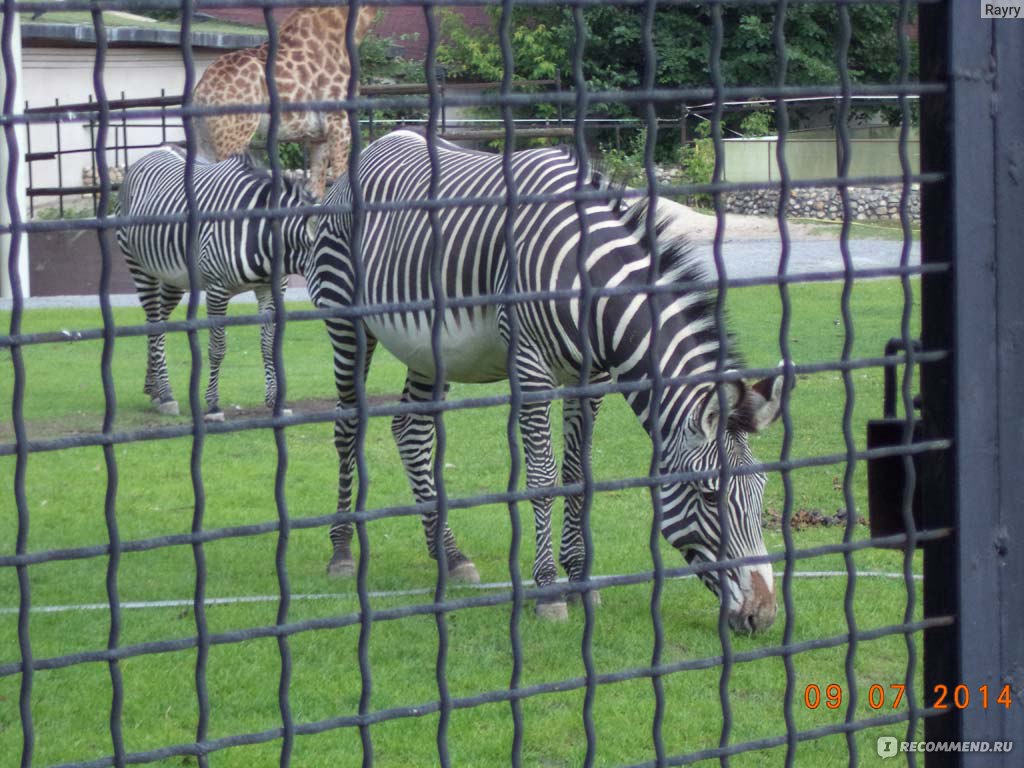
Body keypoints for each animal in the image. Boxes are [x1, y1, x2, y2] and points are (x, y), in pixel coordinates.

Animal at [115, 144, 311, 421]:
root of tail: (157, 150)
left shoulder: (271, 288)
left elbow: (268, 343)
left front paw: (275, 401)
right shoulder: (218, 289)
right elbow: (217, 348)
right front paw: (214, 404)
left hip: (173, 278)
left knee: (157, 321)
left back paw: (153, 389)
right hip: (139, 266)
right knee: (155, 323)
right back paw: (166, 395)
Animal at [192, 6, 376, 198]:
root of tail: (201, 89)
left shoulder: (320, 135)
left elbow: (317, 188)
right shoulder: (339, 121)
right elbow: (341, 177)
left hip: (206, 140)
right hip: (234, 136)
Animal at [305, 131, 782, 630]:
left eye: (761, 490)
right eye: (709, 496)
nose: (764, 615)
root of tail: (377, 146)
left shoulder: (592, 378)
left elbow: (576, 473)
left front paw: (579, 580)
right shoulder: (531, 367)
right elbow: (543, 475)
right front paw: (550, 590)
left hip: (428, 349)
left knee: (411, 432)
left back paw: (450, 555)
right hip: (345, 321)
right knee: (347, 426)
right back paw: (341, 550)